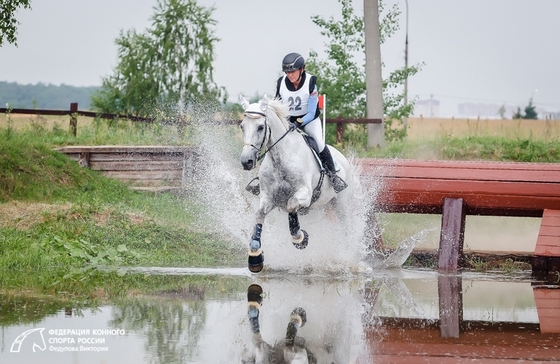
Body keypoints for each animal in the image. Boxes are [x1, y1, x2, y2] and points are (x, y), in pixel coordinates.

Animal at [237, 94, 352, 272]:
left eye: (260, 127)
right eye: (242, 126)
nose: (246, 162)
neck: (280, 159)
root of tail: (341, 156)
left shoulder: (304, 194)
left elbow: (291, 206)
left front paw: (300, 238)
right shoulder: (268, 198)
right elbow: (260, 215)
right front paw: (255, 255)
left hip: (341, 203)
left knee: (345, 227)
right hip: (324, 206)